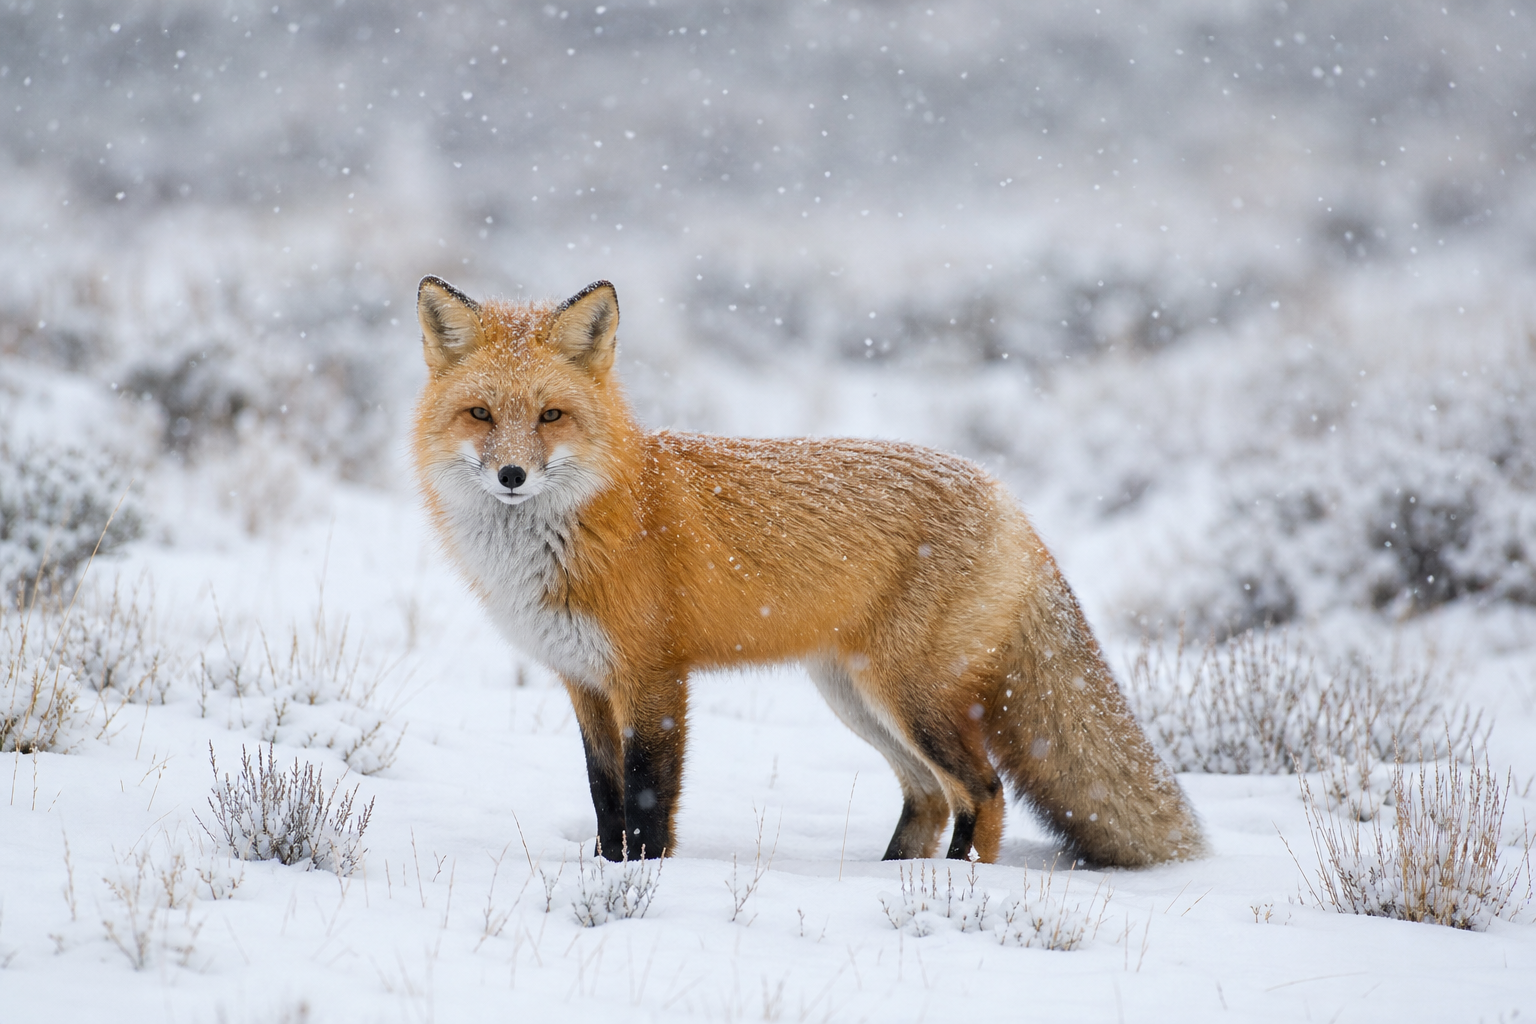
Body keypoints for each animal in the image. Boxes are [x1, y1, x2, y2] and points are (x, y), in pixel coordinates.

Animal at [410, 274, 1204, 867]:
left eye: (550, 416)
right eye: (480, 414)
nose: (512, 476)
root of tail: (1004, 494)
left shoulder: (654, 678)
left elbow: (647, 801)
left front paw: (643, 881)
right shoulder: (585, 682)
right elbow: (606, 799)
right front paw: (606, 870)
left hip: (909, 695)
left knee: (984, 790)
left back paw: (954, 885)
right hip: (855, 697)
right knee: (929, 796)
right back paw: (891, 875)